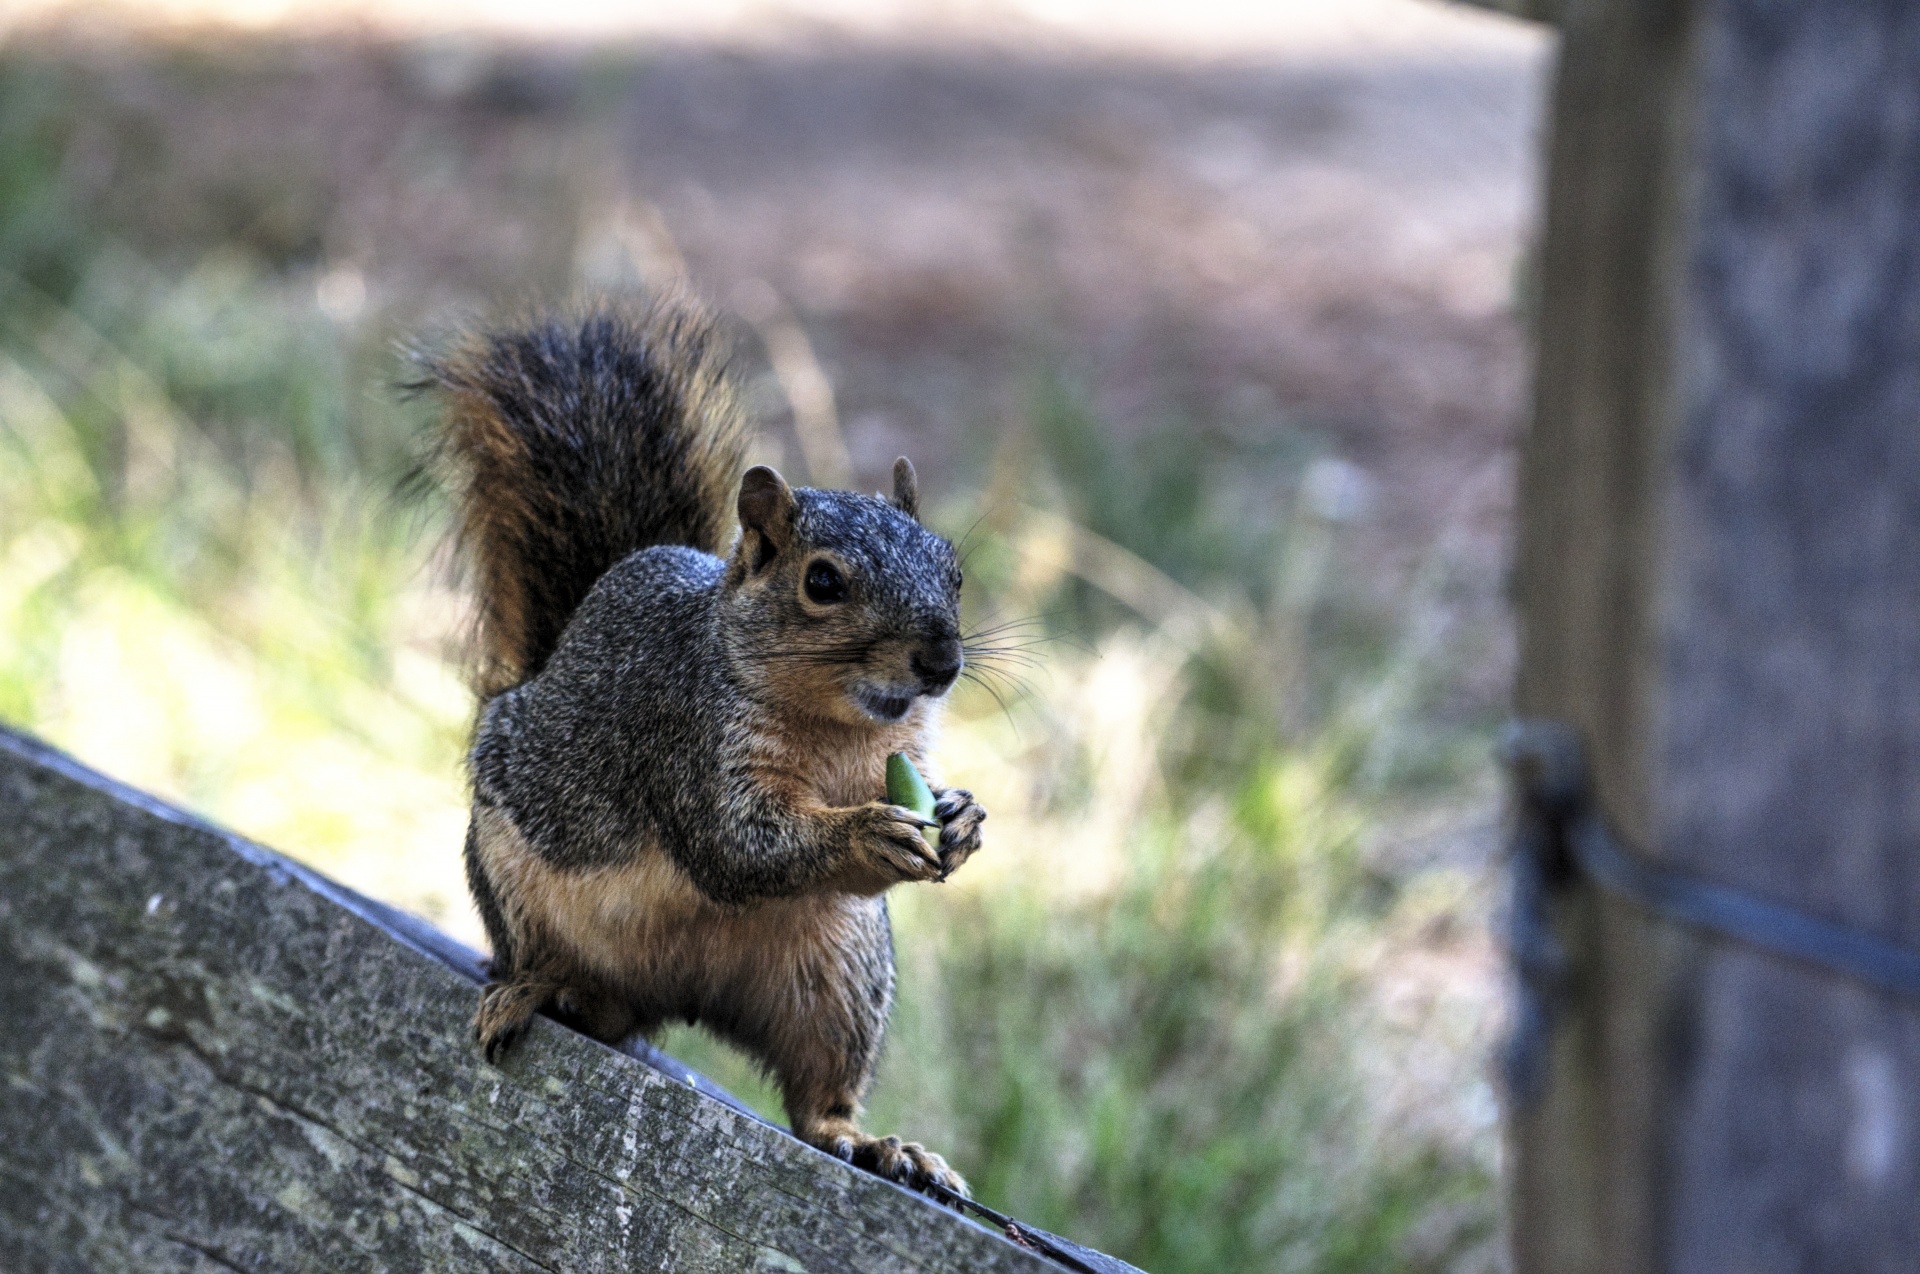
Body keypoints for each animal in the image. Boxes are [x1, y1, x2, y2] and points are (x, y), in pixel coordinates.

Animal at [426, 295, 983, 1197]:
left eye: (954, 572)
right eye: (822, 582)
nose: (941, 662)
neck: (837, 726)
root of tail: (682, 996)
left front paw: (962, 820)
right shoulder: (685, 739)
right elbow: (734, 846)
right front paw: (865, 832)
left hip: (839, 973)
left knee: (819, 1095)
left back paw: (875, 1145)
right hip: (514, 881)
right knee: (574, 987)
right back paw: (544, 991)